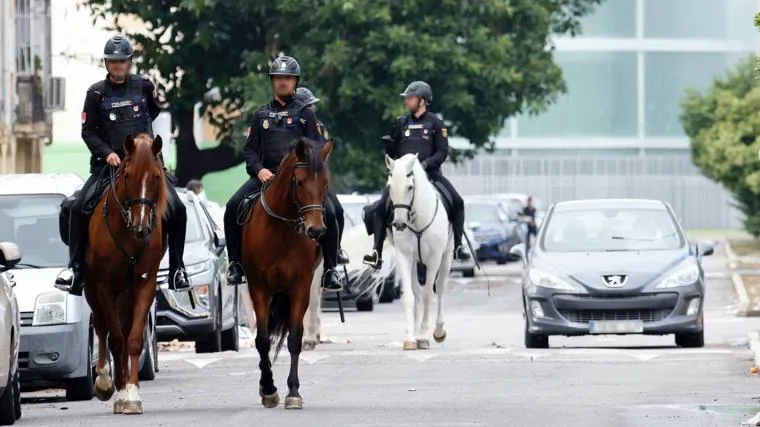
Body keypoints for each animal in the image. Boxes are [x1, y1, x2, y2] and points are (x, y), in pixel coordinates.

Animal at [84, 134, 168, 414]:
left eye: (156, 176)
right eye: (127, 175)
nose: (142, 228)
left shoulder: (145, 285)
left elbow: (132, 339)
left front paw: (131, 394)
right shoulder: (105, 286)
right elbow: (115, 339)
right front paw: (117, 390)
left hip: (127, 294)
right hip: (92, 289)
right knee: (101, 326)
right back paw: (104, 381)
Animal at [243, 138, 332, 412]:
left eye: (326, 183)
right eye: (300, 182)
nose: (316, 230)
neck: (281, 229)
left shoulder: (300, 287)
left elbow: (294, 339)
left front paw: (293, 392)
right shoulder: (258, 287)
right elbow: (262, 340)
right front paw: (269, 389)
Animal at [386, 154, 452, 352]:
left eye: (409, 187)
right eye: (390, 186)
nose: (399, 224)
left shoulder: (434, 259)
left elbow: (428, 294)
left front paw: (423, 336)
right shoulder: (404, 256)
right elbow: (409, 296)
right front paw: (410, 337)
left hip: (446, 257)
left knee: (441, 288)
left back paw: (438, 331)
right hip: (415, 262)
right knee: (416, 290)